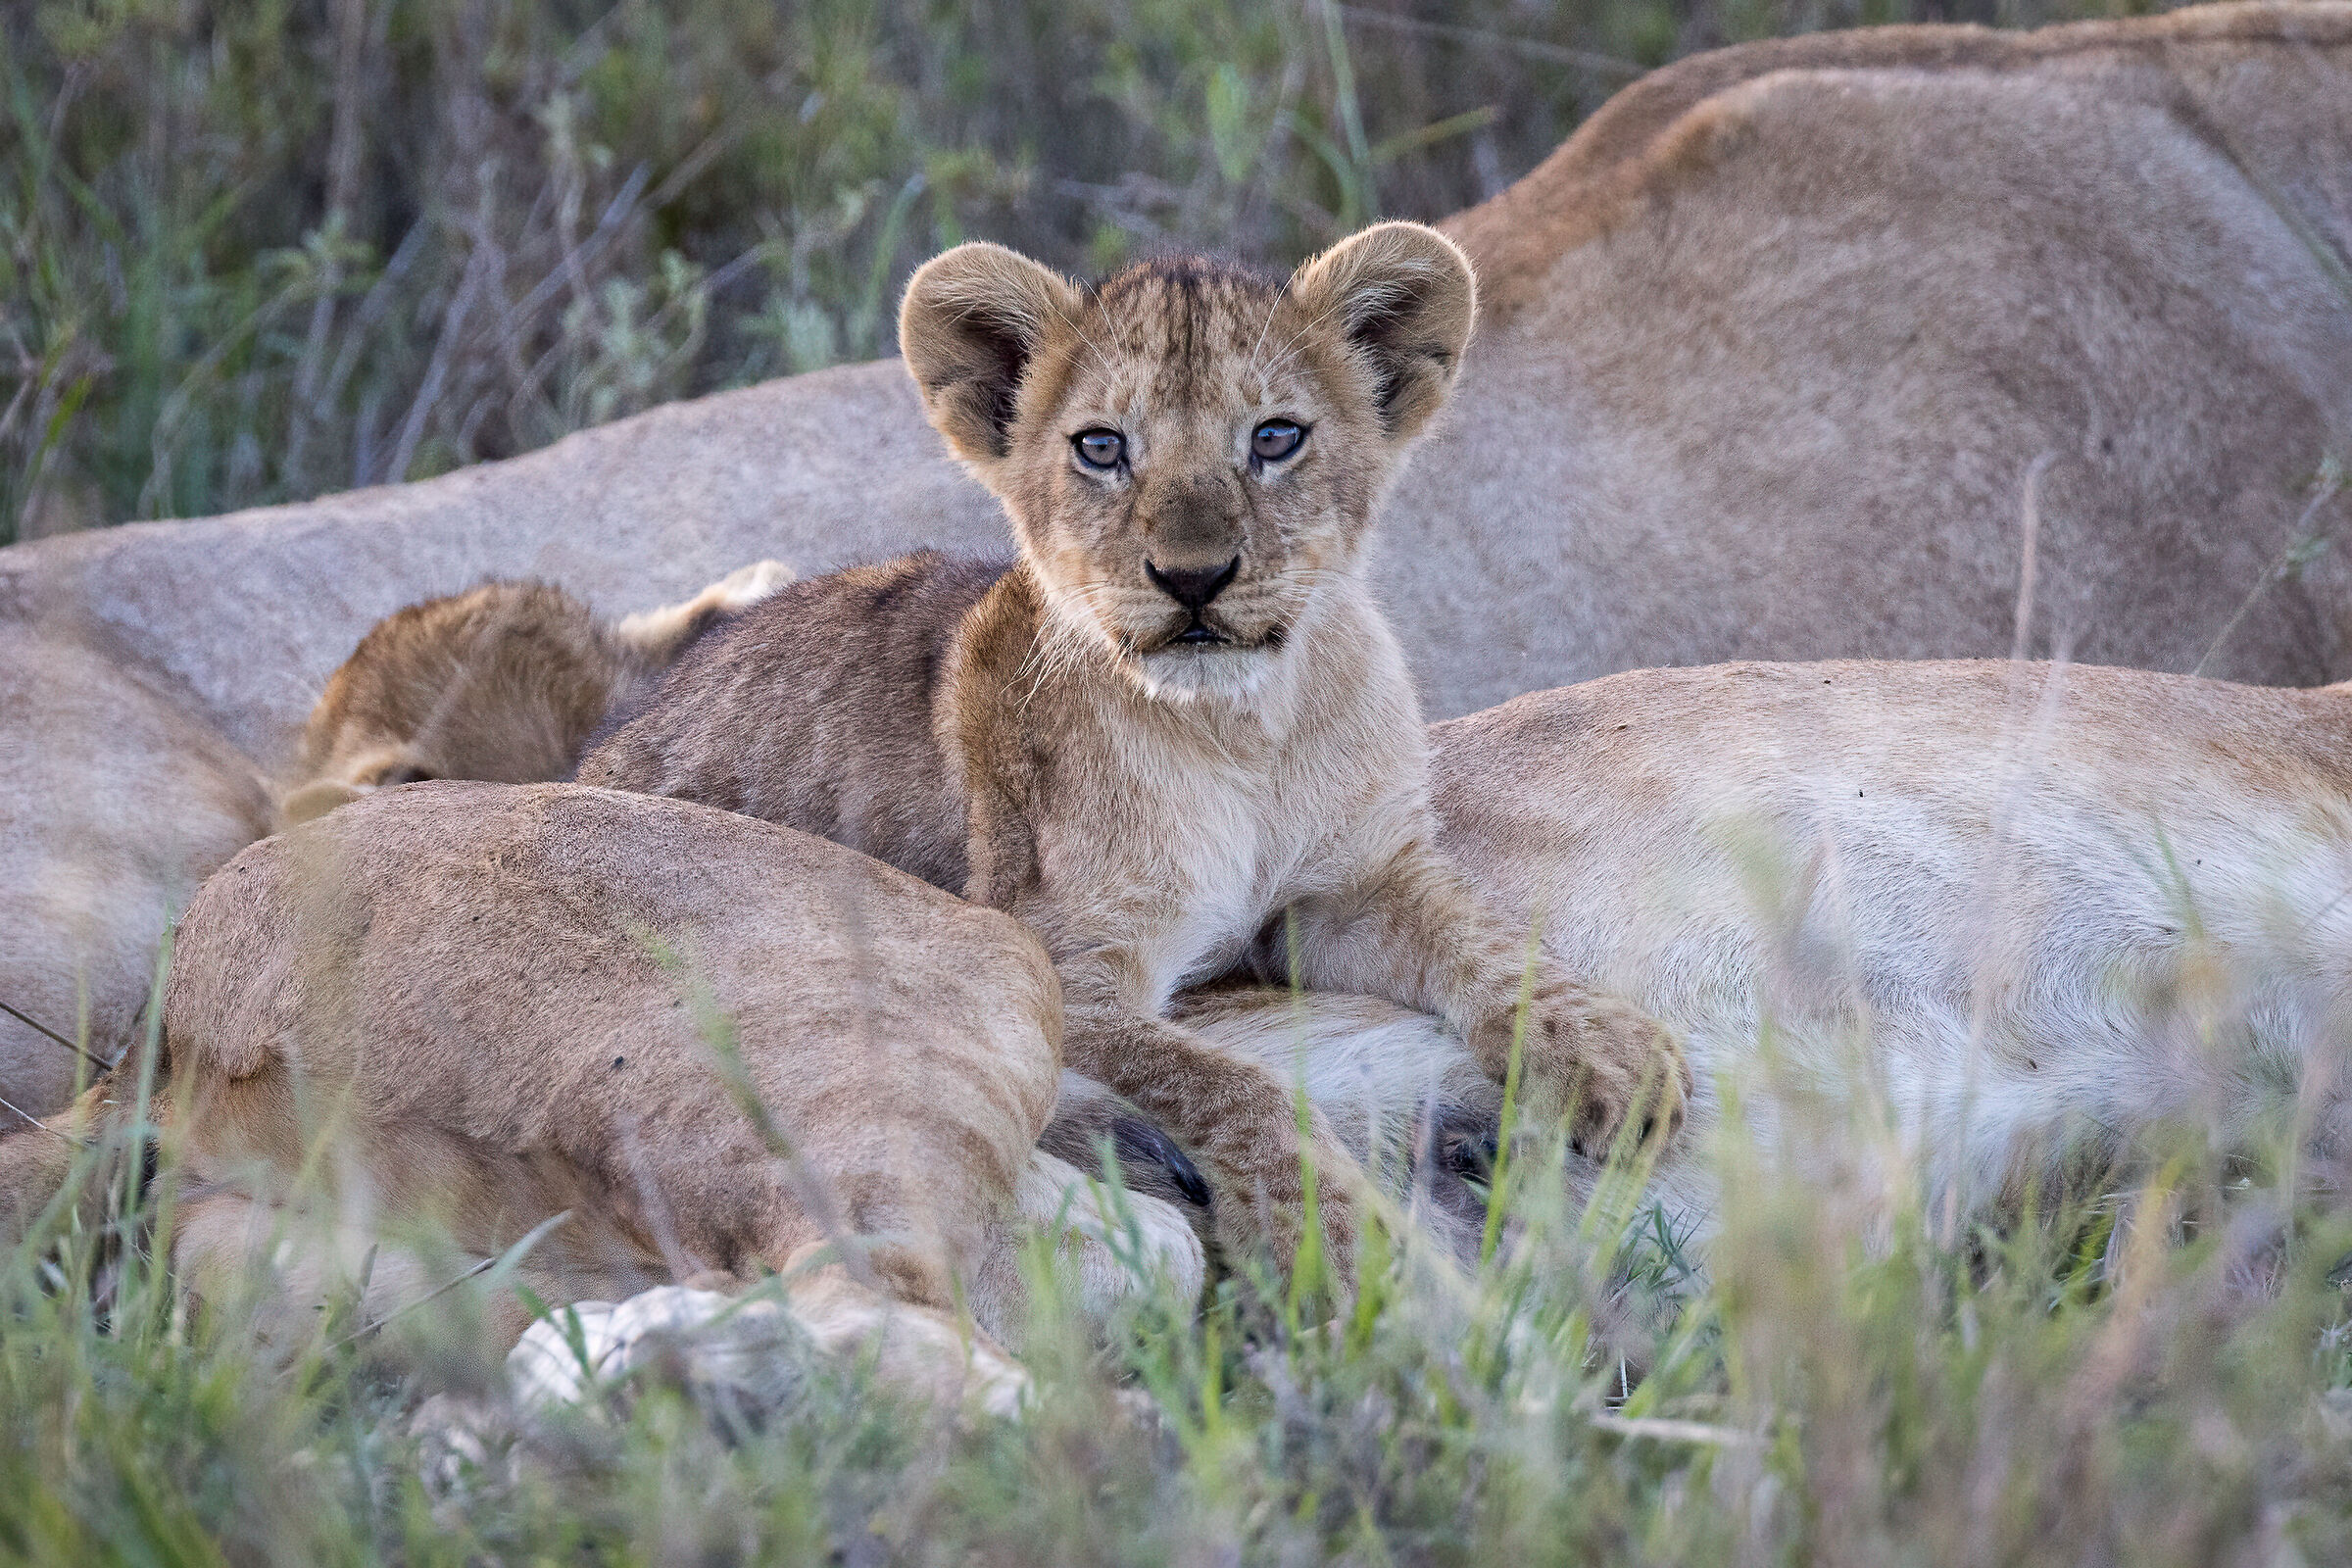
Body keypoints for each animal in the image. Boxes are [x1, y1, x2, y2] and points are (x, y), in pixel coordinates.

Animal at [575, 227, 1687, 1277]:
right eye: (1102, 447)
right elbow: (1231, 1083)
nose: (1192, 577)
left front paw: (1616, 1057)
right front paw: (1339, 1243)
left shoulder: (1354, 883)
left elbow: (1489, 941)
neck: (1242, 734)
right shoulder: (1065, 962)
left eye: (1275, 437)